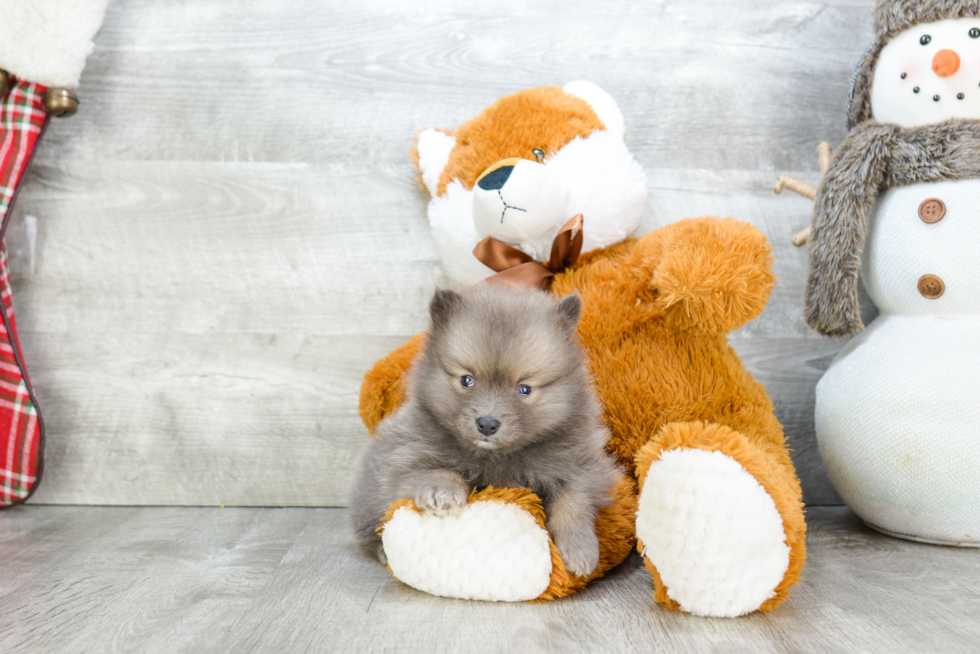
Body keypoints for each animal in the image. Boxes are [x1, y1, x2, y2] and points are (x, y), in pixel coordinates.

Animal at [348, 288, 616, 580]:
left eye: (524, 389)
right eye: (467, 380)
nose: (487, 424)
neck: (496, 458)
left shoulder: (583, 467)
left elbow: (573, 501)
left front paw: (580, 550)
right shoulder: (403, 459)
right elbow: (432, 472)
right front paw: (441, 492)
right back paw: (384, 552)